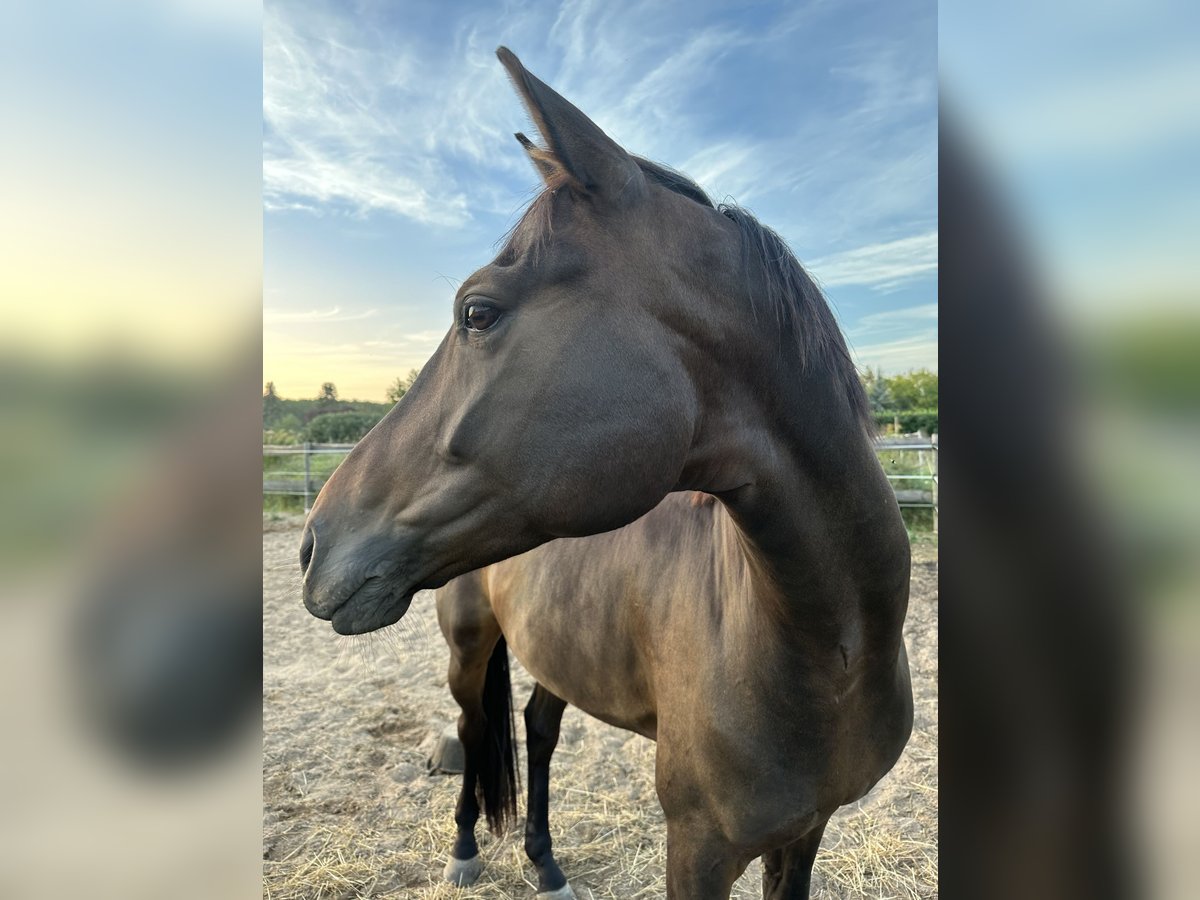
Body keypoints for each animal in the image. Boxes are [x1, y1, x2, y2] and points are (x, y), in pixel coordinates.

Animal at [300, 49, 907, 900]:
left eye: (477, 313)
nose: (313, 544)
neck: (827, 651)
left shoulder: (805, 834)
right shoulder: (698, 848)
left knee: (537, 729)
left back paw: (545, 861)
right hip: (467, 648)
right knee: (474, 729)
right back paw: (465, 849)